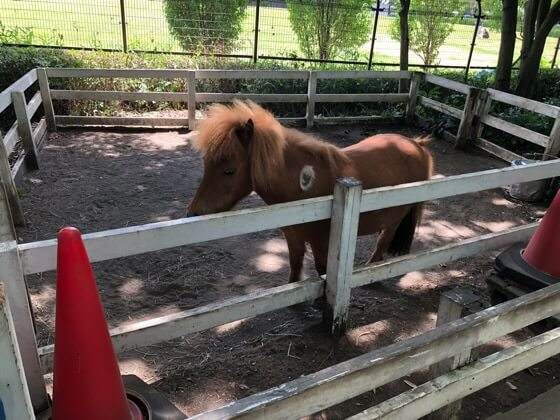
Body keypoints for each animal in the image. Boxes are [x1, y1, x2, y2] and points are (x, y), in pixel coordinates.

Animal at [188, 101, 434, 282]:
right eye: (206, 164)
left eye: (229, 171)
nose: (193, 212)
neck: (304, 189)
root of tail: (417, 145)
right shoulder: (293, 236)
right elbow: (295, 264)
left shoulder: (320, 241)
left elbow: (322, 268)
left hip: (395, 218)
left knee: (383, 241)